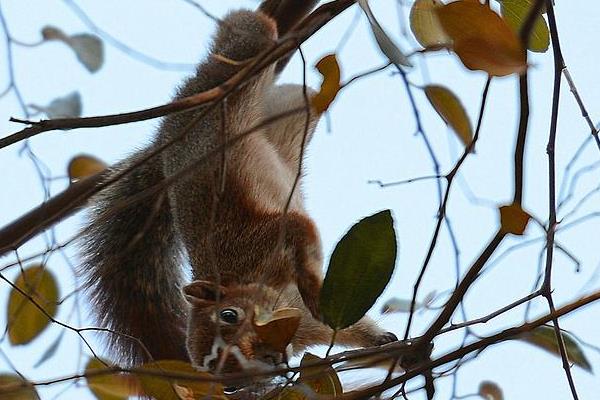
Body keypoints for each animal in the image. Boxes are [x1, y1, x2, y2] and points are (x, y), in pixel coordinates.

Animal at [81, 0, 398, 376]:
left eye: (229, 315)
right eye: (223, 373)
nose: (269, 356)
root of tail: (167, 132)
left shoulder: (260, 242)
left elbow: (298, 229)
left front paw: (314, 292)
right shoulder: (307, 327)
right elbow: (350, 328)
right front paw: (386, 346)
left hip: (239, 58)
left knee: (247, 30)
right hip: (287, 110)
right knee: (303, 96)